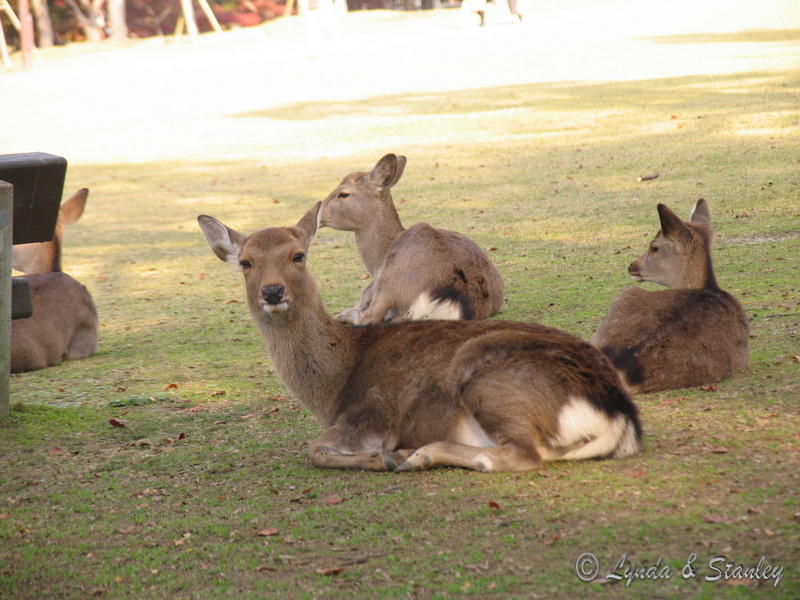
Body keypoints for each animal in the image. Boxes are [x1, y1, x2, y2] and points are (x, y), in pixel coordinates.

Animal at [200, 206, 644, 474]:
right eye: (245, 262)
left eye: (298, 255)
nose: (273, 291)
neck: (330, 389)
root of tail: (619, 414)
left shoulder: (369, 416)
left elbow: (315, 450)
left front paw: (383, 457)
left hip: (487, 377)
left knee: (523, 455)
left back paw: (418, 454)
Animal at [316, 152, 504, 326]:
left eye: (343, 194)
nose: (318, 212)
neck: (376, 263)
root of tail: (455, 300)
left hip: (392, 283)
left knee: (370, 317)